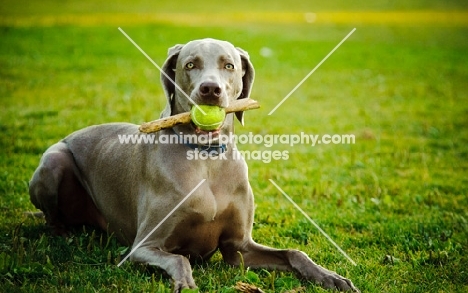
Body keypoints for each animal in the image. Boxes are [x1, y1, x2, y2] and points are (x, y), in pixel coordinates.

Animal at [29, 38, 358, 290]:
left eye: (229, 66)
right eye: (190, 65)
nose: (210, 90)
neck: (205, 158)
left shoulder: (239, 249)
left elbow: (295, 252)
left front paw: (331, 277)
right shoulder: (142, 247)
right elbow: (180, 258)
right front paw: (184, 283)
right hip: (53, 161)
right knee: (53, 216)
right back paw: (66, 235)